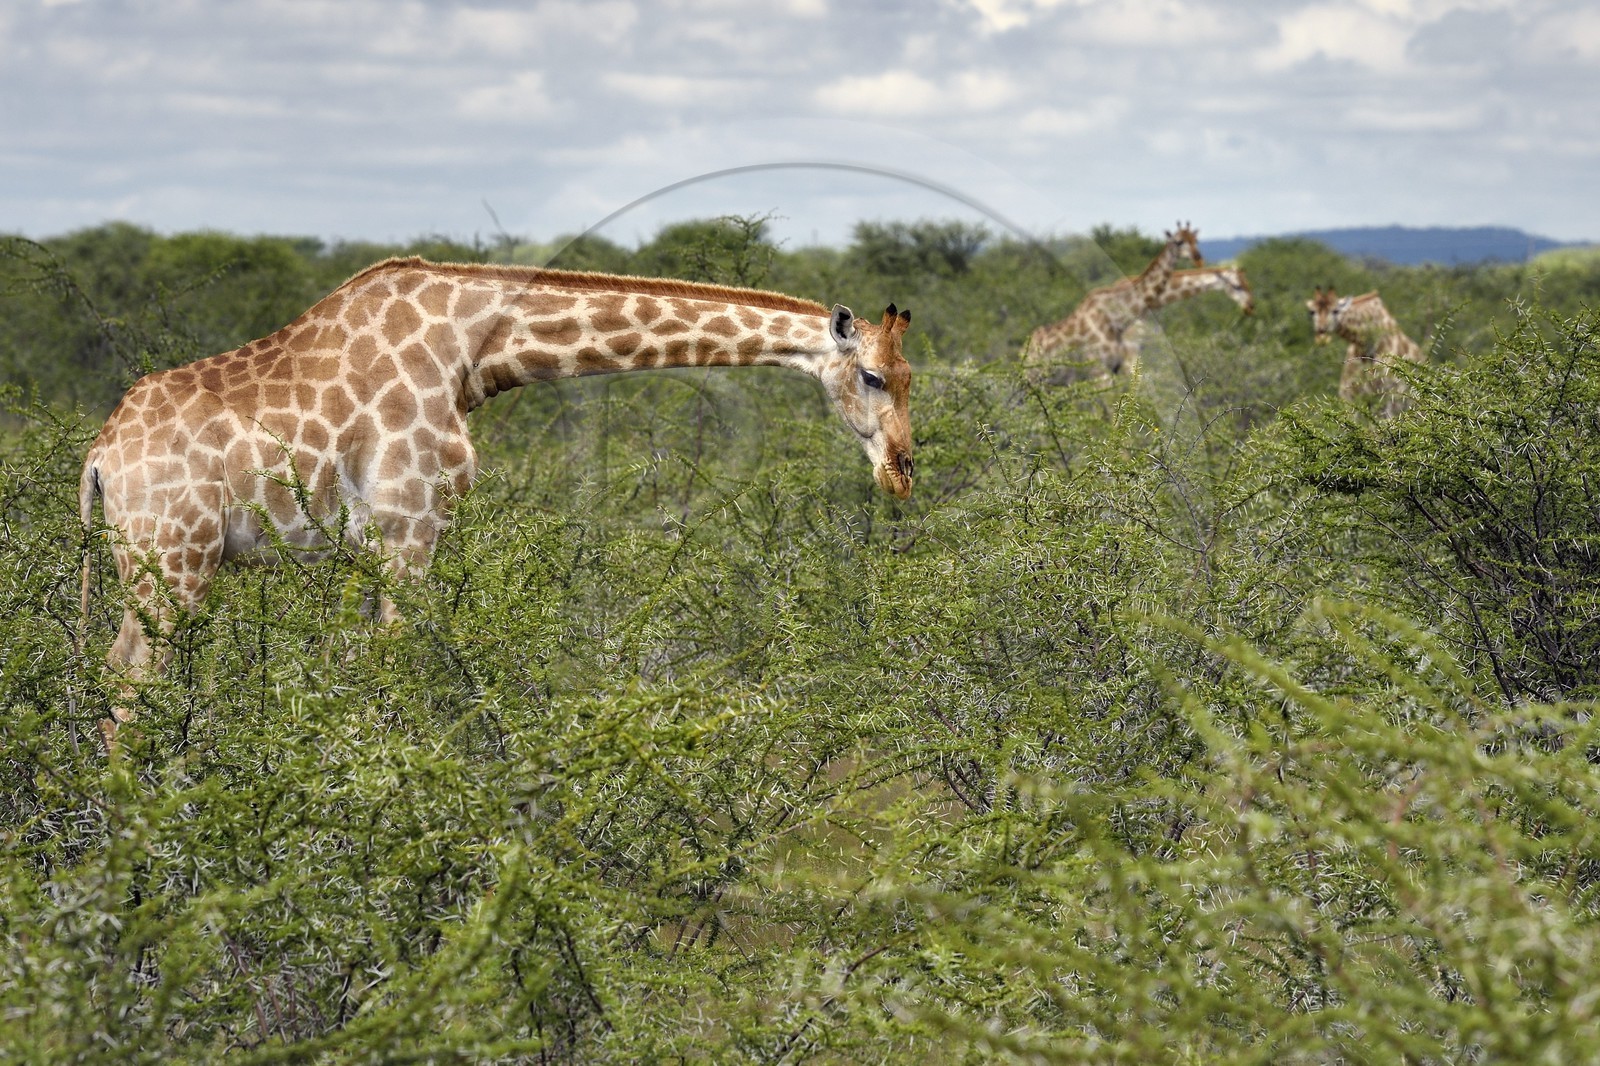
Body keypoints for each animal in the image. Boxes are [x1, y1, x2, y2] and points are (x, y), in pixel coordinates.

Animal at [79, 257, 915, 745]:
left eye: (911, 379)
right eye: (873, 377)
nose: (902, 472)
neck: (473, 351)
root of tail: (98, 457)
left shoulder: (371, 542)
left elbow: (356, 670)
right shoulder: (411, 523)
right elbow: (396, 671)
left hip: (149, 563)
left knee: (116, 674)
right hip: (175, 559)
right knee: (133, 685)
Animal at [1022, 222, 1204, 382]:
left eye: (1196, 240)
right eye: (1179, 241)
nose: (1198, 258)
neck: (1116, 318)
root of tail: (1025, 349)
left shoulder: (1115, 367)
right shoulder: (1098, 369)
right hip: (1034, 376)